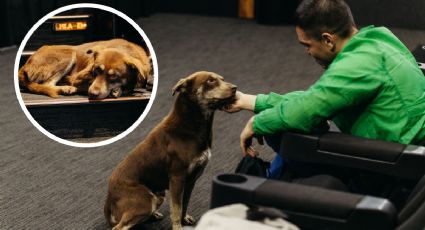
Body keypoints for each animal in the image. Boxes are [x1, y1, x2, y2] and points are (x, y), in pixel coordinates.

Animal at [19, 38, 153, 99]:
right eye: (96, 70)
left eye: (114, 76)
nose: (92, 94)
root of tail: (25, 65)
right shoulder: (77, 78)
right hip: (69, 53)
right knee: (47, 83)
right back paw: (65, 88)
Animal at [102, 71, 235, 229]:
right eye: (210, 81)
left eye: (222, 79)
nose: (235, 88)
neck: (190, 126)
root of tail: (109, 198)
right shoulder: (177, 178)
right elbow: (176, 208)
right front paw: (178, 226)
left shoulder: (191, 180)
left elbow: (184, 204)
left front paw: (185, 219)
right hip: (145, 201)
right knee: (119, 226)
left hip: (158, 196)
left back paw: (154, 215)